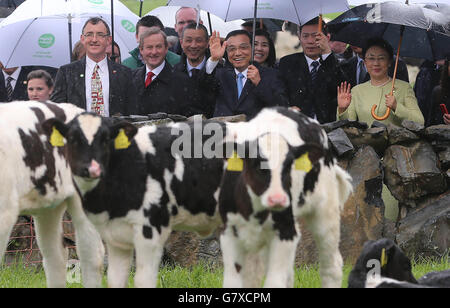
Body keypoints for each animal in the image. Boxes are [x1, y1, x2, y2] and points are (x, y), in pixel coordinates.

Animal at [220, 107, 354, 288]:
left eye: (290, 165)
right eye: (257, 165)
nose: (278, 199)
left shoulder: (285, 231)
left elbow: (274, 282)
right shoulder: (229, 234)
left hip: (325, 212)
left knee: (332, 266)